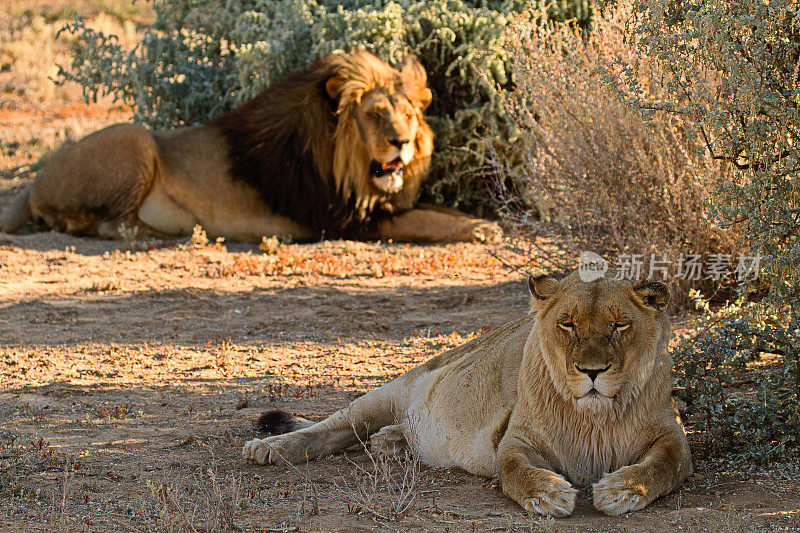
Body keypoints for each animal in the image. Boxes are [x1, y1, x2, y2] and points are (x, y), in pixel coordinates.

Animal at [0, 50, 500, 241]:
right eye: (376, 114)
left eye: (409, 114)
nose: (402, 142)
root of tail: (31, 184)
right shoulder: (342, 219)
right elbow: (426, 220)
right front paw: (482, 229)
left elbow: (436, 210)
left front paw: (481, 222)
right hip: (135, 138)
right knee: (109, 226)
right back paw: (167, 233)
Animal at [244, 272, 692, 512]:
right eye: (567, 324)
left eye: (619, 325)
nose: (592, 371)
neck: (595, 416)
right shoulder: (514, 439)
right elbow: (516, 471)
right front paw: (548, 495)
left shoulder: (673, 437)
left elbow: (662, 467)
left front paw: (623, 490)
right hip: (388, 391)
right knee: (331, 429)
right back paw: (268, 448)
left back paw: (391, 442)